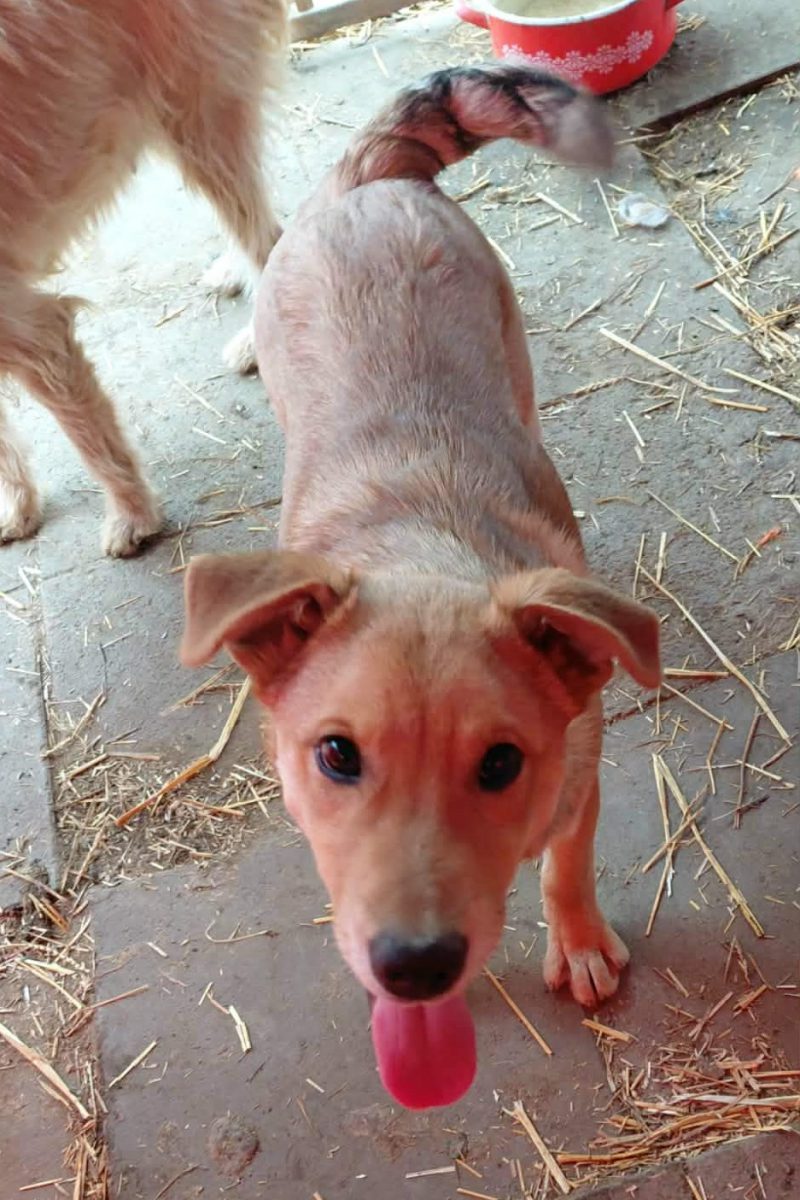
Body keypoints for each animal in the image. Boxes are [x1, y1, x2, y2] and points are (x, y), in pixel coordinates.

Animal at [0, 0, 286, 556]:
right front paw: (19, 506)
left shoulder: (31, 328)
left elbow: (91, 436)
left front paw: (133, 515)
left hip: (199, 115)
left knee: (267, 236)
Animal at [181, 66, 661, 1109]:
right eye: (335, 756)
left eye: (502, 763)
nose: (414, 968)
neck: (422, 553)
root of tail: (365, 180)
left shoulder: (580, 773)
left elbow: (566, 865)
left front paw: (580, 943)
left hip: (509, 334)